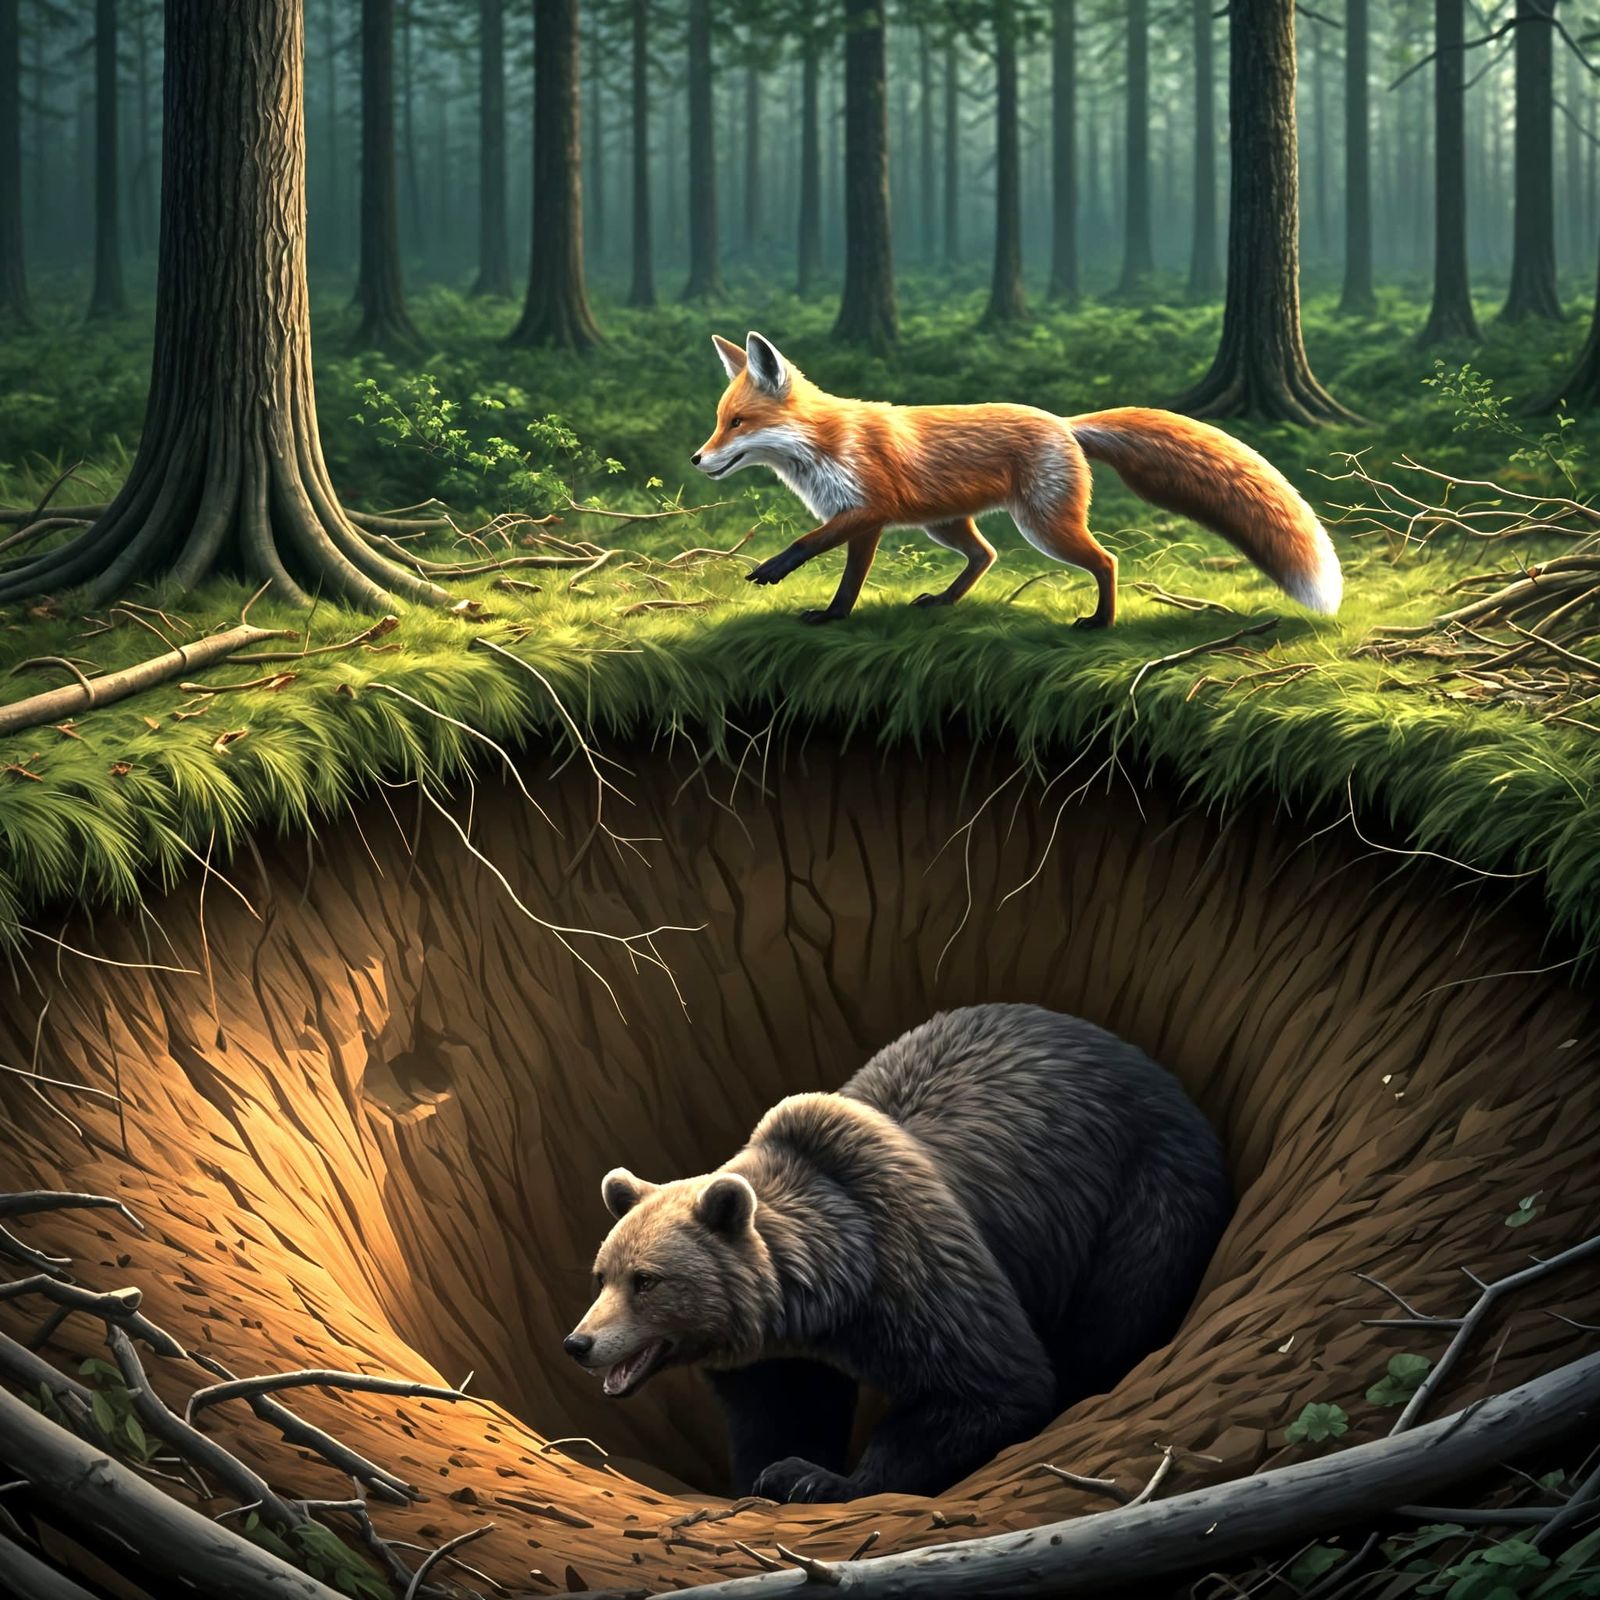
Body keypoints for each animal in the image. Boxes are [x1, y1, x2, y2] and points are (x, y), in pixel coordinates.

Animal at [562, 1003, 1232, 1503]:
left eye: (646, 1280)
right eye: (601, 1276)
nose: (579, 1343)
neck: (831, 1294)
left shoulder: (914, 1270)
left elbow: (988, 1383)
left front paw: (818, 1479)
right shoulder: (775, 1356)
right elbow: (781, 1411)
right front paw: (769, 1473)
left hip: (1145, 1200)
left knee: (1112, 1320)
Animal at [693, 331, 1342, 628]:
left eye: (737, 422)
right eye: (719, 421)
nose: (697, 459)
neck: (825, 444)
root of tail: (1064, 421)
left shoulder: (869, 510)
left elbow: (815, 549)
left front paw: (784, 578)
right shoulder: (865, 520)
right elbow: (845, 573)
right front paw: (831, 613)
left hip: (1044, 527)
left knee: (1104, 561)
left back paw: (1101, 623)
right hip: (948, 525)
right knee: (986, 556)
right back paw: (943, 602)